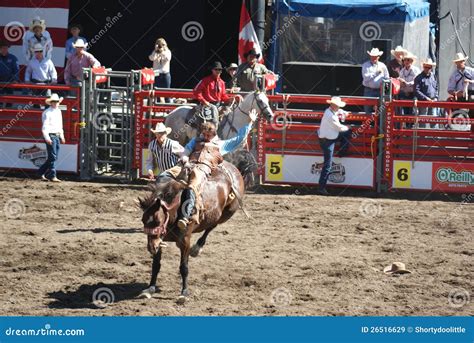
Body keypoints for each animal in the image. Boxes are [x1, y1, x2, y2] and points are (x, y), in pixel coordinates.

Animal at [135, 161, 243, 304]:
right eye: (143, 220)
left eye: (158, 221)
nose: (151, 247)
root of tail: (233, 168)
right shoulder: (159, 240)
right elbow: (156, 265)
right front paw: (150, 289)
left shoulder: (184, 241)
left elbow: (184, 267)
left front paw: (184, 293)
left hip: (227, 213)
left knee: (212, 226)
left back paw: (197, 248)